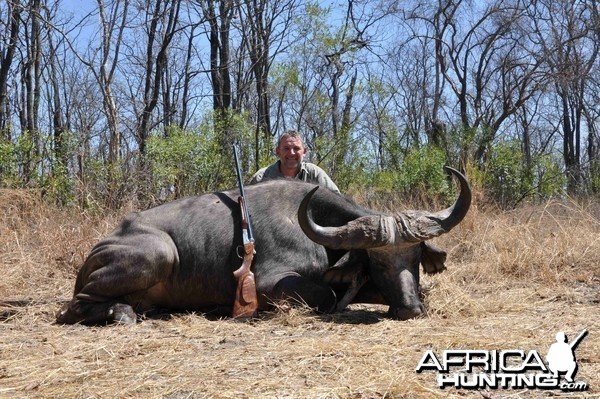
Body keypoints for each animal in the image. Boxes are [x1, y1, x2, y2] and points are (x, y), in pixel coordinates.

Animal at [56, 166, 468, 324]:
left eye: (414, 257)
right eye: (378, 262)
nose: (409, 309)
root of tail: (99, 248)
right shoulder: (274, 282)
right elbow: (325, 296)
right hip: (160, 253)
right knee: (75, 306)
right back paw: (121, 313)